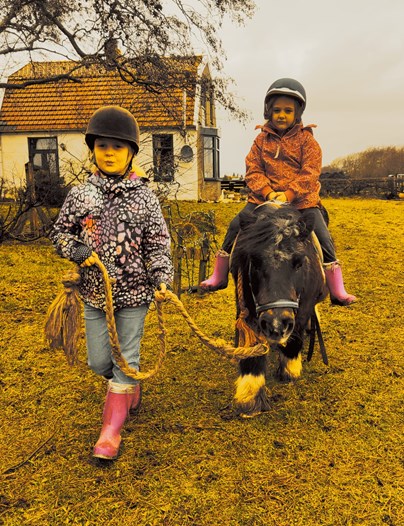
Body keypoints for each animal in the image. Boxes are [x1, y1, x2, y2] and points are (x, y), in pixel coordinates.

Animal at [230, 204, 328, 418]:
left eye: (299, 262)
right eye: (255, 261)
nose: (276, 325)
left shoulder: (304, 306)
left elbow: (297, 332)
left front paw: (289, 370)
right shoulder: (248, 309)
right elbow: (253, 346)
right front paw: (250, 397)